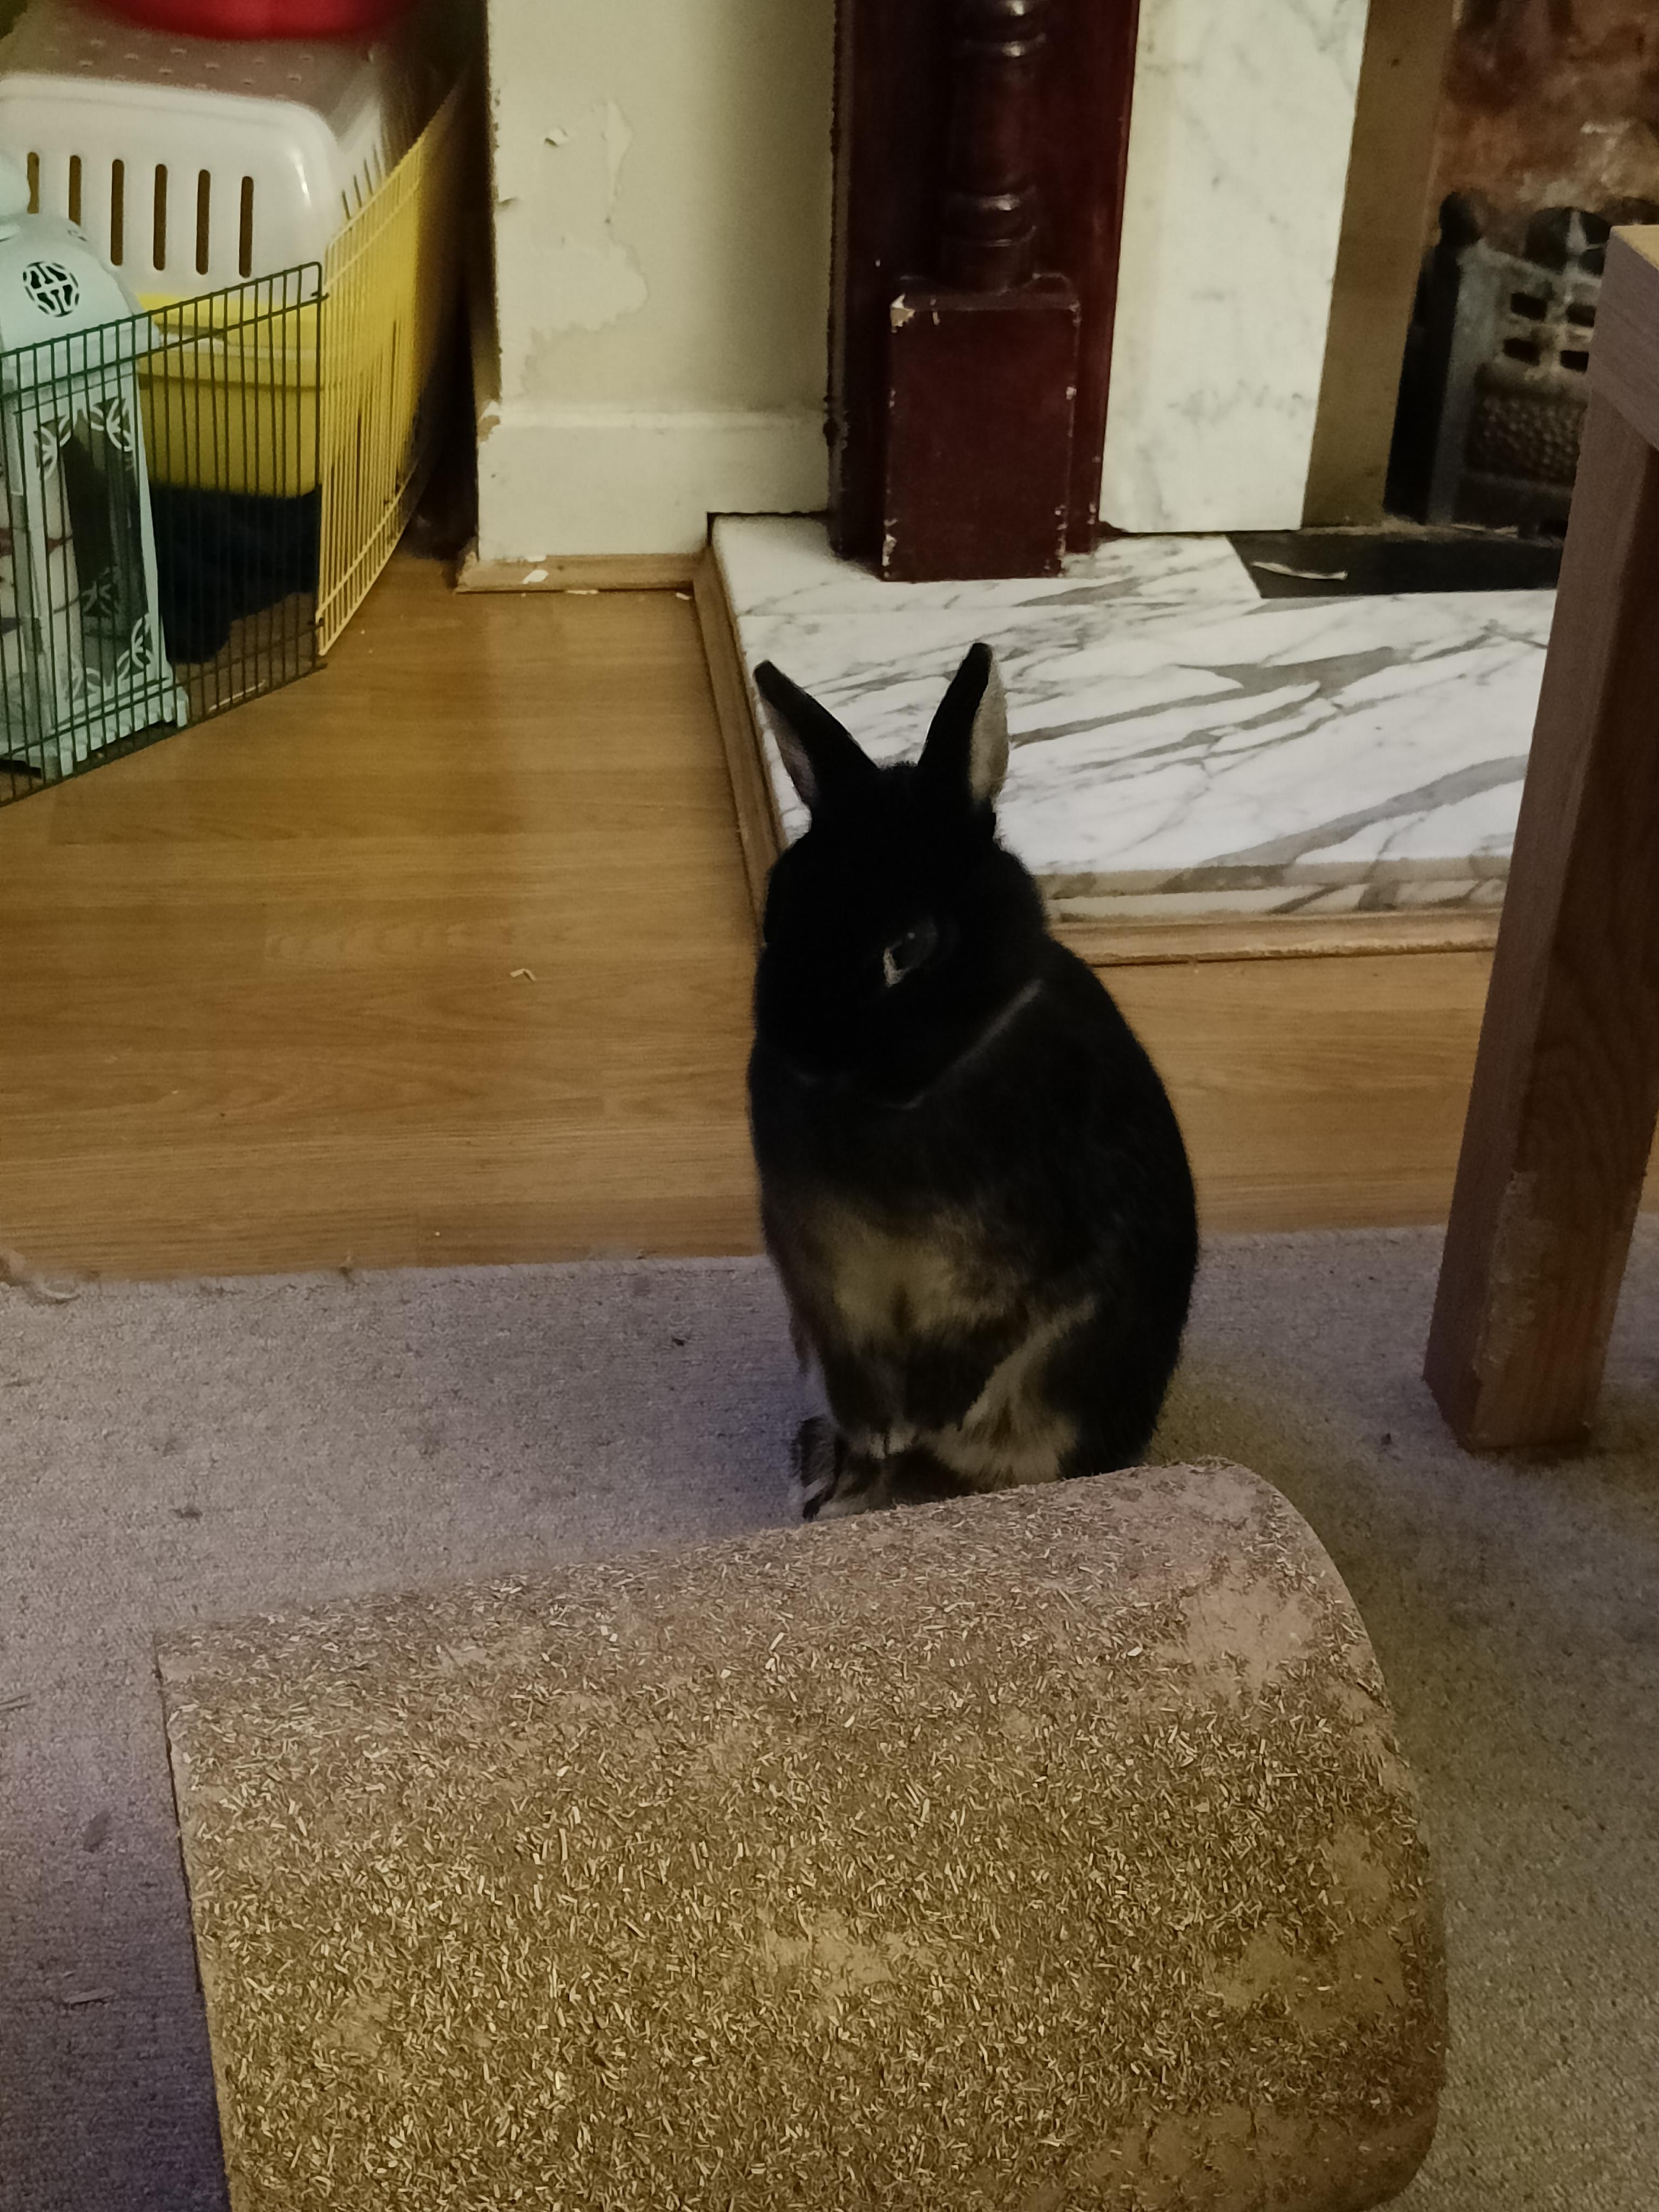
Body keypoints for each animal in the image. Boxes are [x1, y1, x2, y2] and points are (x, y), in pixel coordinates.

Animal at [748, 641, 1199, 1521]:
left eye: (911, 947)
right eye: (777, 914)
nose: (809, 1056)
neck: (901, 1101)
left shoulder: (1049, 1261)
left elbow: (994, 1335)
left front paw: (922, 1413)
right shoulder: (814, 1269)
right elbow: (847, 1353)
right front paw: (874, 1429)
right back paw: (834, 1476)